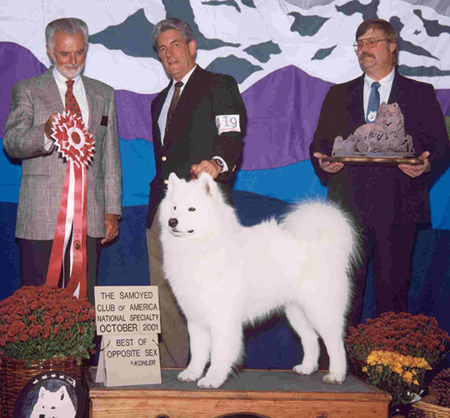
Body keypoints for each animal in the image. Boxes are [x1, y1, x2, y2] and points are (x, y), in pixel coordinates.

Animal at [159, 172, 358, 389]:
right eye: (174, 207)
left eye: (192, 209)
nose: (172, 221)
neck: (204, 247)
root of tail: (324, 246)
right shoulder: (196, 317)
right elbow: (198, 351)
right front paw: (192, 373)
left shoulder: (222, 318)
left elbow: (219, 353)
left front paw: (213, 379)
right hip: (296, 312)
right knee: (311, 338)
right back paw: (307, 368)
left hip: (321, 310)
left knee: (335, 343)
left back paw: (336, 375)